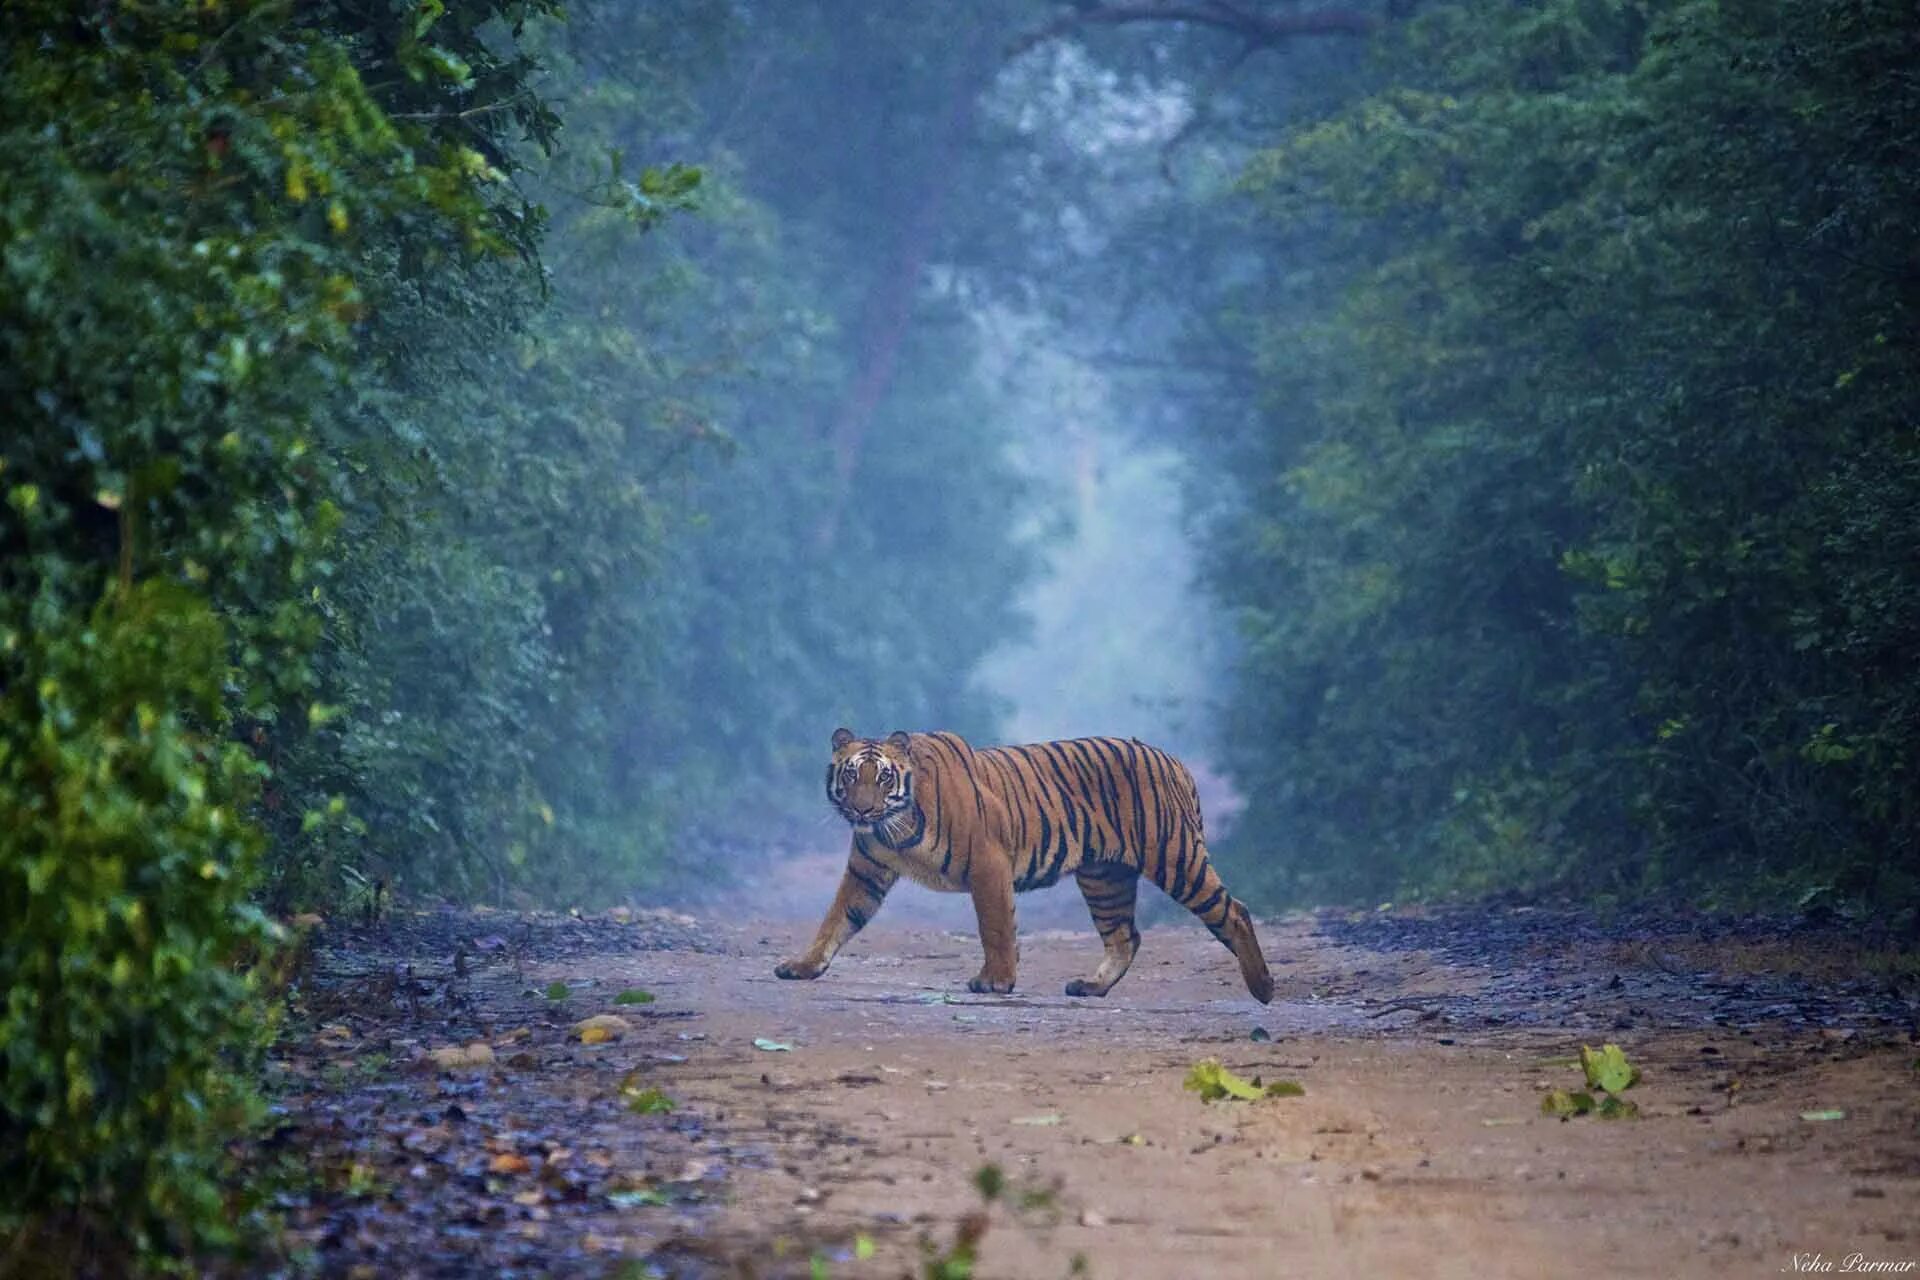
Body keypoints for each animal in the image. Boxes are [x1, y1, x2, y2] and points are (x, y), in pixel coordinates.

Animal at [764, 725, 1274, 1005]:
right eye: (851, 775)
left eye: (883, 777)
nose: (862, 810)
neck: (893, 825)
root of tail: (1174, 760)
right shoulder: (866, 873)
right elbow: (835, 921)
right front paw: (802, 966)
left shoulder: (988, 863)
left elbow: (995, 926)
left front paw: (995, 982)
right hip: (1104, 877)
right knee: (1124, 936)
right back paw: (1090, 987)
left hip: (1174, 857)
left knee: (1234, 910)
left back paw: (1264, 987)